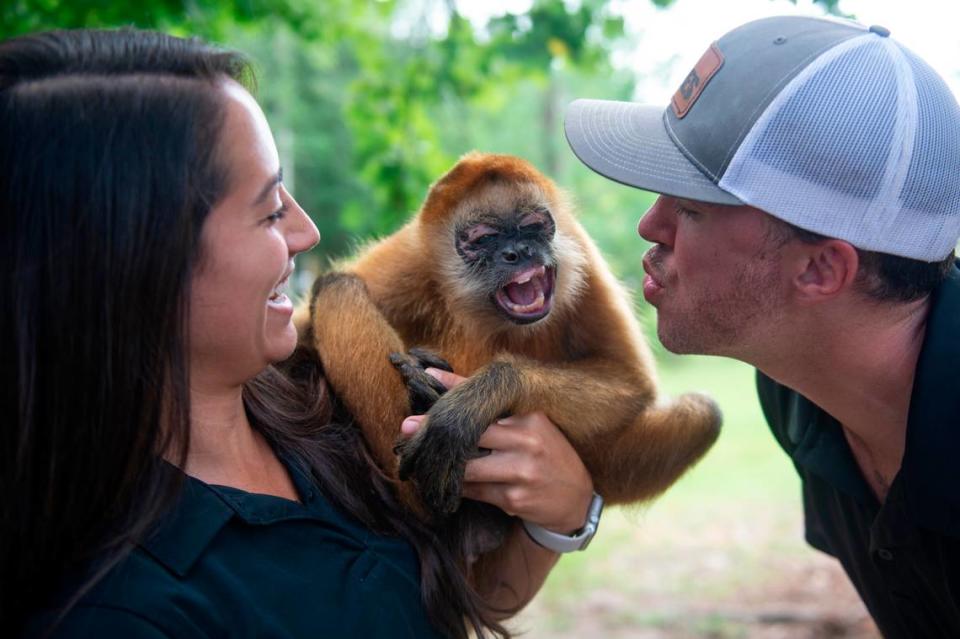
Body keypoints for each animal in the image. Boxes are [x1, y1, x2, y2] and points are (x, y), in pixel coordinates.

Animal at [300, 155, 720, 536]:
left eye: (534, 228)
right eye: (484, 239)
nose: (519, 252)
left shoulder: (578, 247)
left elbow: (632, 384)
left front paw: (481, 397)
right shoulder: (412, 254)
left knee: (705, 414)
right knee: (338, 286)